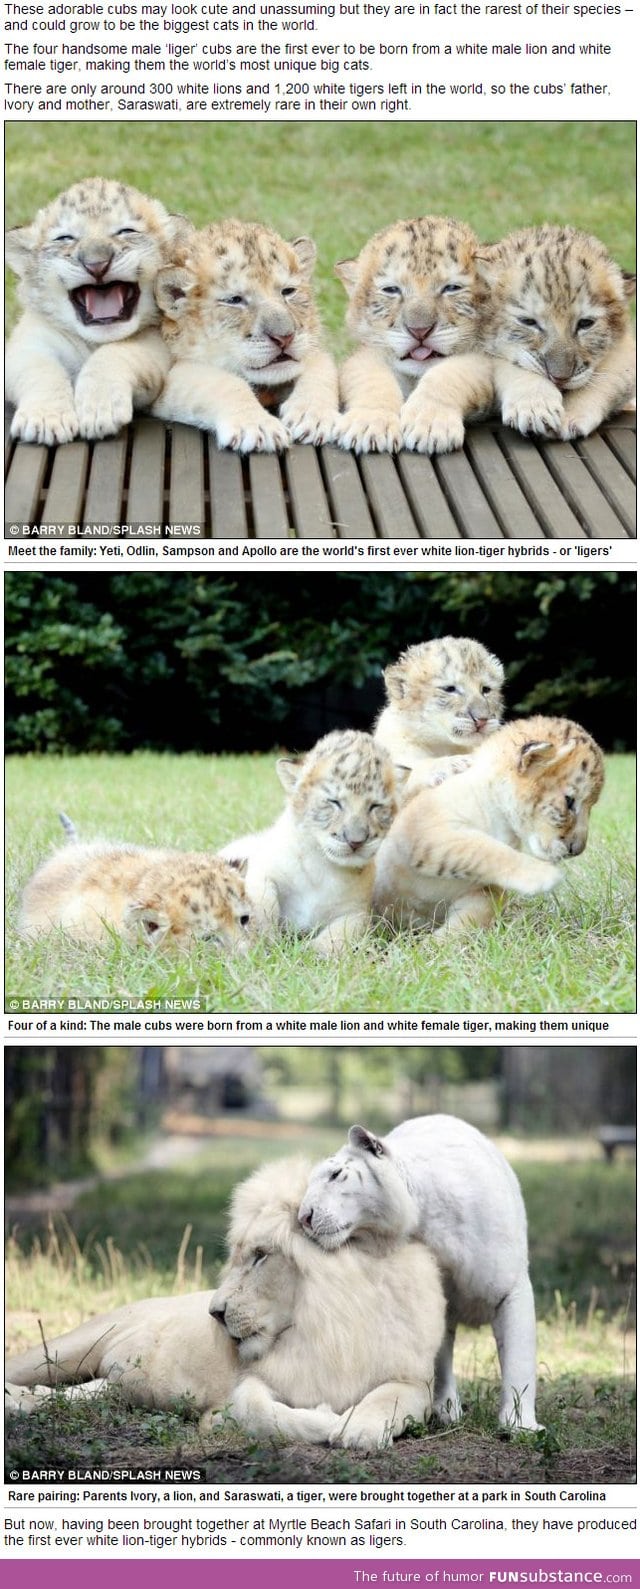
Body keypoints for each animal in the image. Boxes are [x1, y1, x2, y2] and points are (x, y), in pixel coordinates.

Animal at [5, 1156, 444, 1455]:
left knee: (76, 1393)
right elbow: (259, 1412)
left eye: (261, 1256)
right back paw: (14, 1397)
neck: (327, 1325)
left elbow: (387, 1397)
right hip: (67, 1347)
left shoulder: (414, 1380)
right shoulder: (253, 1382)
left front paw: (359, 1429)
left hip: (113, 1384)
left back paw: (22, 1401)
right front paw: (325, 1418)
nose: (214, 1313)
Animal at [300, 1118, 539, 1430]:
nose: (303, 1217)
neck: (425, 1218)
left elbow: (519, 1360)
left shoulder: (510, 1288)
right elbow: (439, 1357)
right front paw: (446, 1410)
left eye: (336, 1174)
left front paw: (521, 1425)